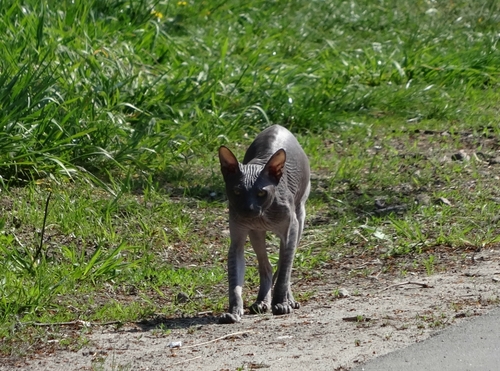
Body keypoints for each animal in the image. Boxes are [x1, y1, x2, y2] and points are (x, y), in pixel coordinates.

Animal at [218, 124, 308, 322]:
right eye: (237, 192)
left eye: (261, 193)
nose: (248, 209)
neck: (262, 216)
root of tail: (277, 126)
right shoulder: (237, 240)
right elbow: (234, 282)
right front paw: (234, 311)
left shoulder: (290, 230)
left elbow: (284, 271)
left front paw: (281, 303)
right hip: (256, 233)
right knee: (266, 266)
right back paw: (262, 301)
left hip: (299, 217)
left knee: (284, 266)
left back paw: (288, 300)